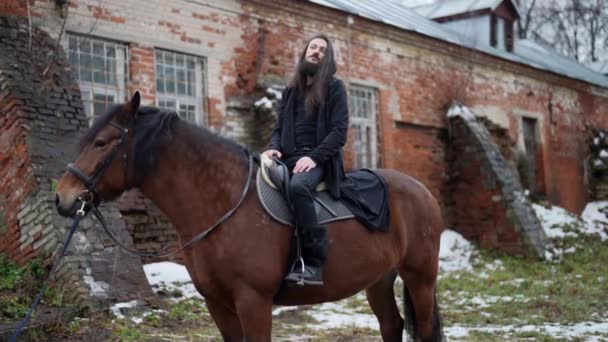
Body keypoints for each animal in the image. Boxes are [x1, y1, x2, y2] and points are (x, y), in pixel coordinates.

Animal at [54, 92, 444, 340]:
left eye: (102, 142)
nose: (63, 197)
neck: (223, 205)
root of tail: (423, 191)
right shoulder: (218, 305)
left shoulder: (253, 302)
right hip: (379, 279)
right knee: (391, 325)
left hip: (420, 278)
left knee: (424, 329)